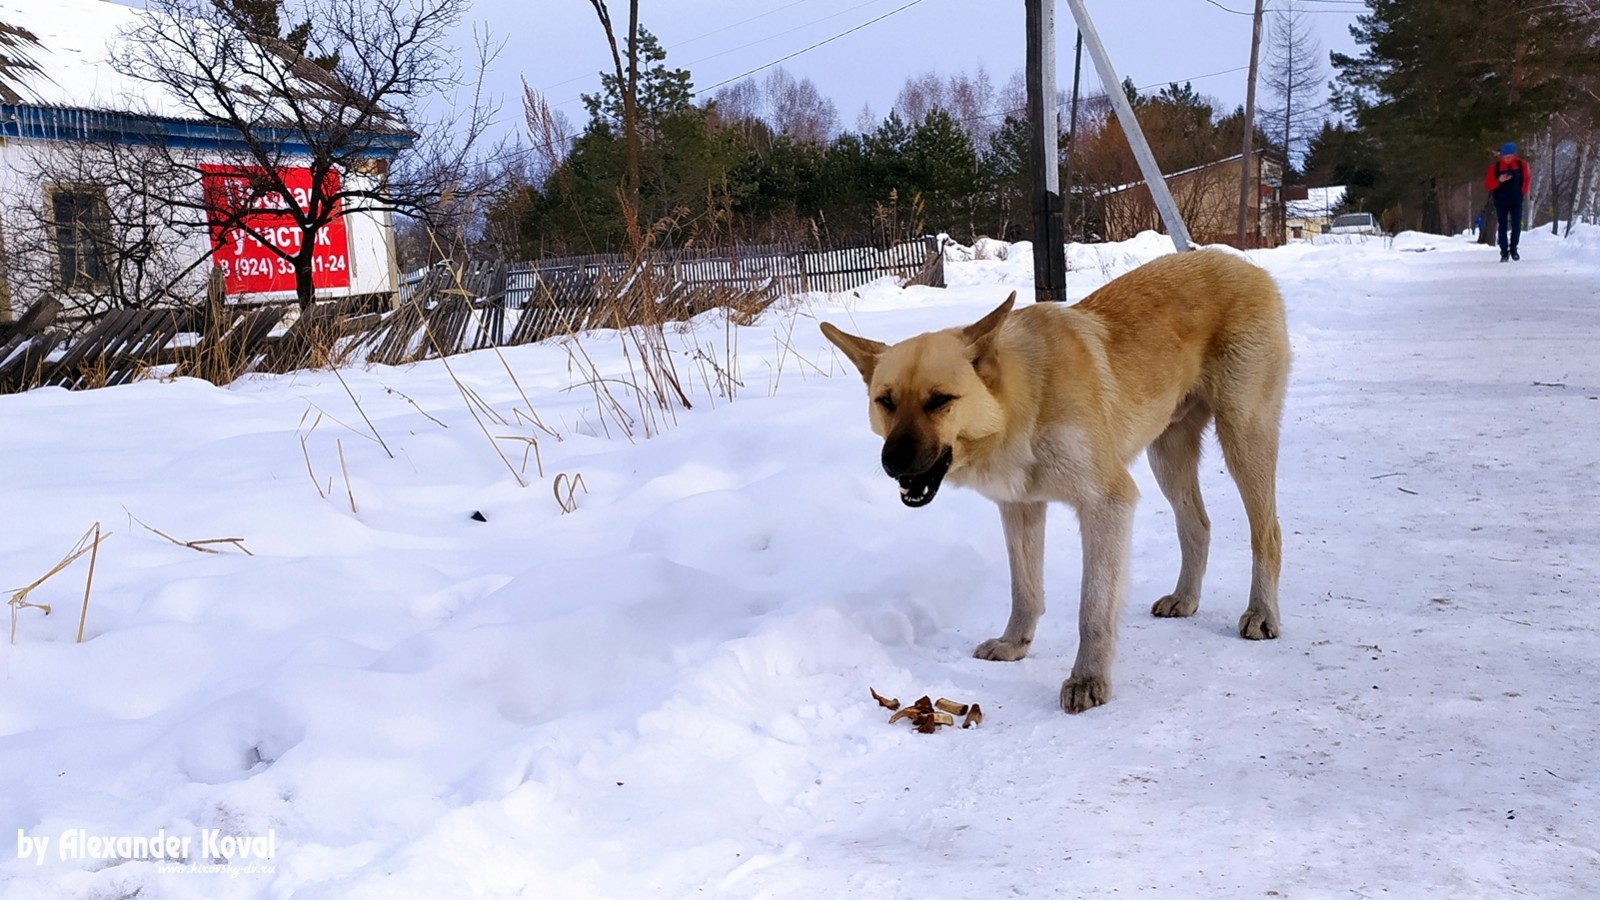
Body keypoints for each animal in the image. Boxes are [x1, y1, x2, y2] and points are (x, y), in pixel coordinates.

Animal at [819, 248, 1292, 711]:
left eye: (939, 401)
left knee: (1267, 533)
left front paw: (1087, 679)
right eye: (885, 401)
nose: (893, 462)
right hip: (1167, 454)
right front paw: (1014, 644)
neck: (1022, 401)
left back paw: (1262, 613)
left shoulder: (1107, 504)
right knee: (1197, 525)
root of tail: (1243, 264)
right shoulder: (1021, 509)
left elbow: (1093, 608)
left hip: (1243, 437)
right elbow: (1025, 590)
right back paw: (1186, 599)